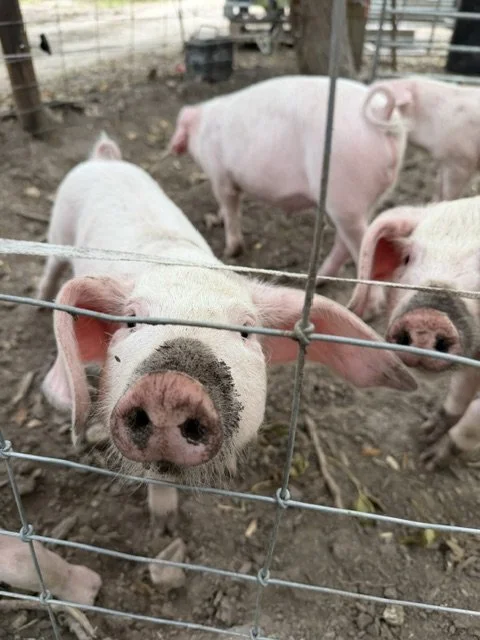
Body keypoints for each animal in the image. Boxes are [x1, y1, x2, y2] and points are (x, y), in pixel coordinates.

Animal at [37, 132, 416, 531]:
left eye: (246, 330)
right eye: (131, 320)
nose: (168, 388)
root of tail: (103, 159)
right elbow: (157, 479)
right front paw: (165, 524)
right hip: (58, 227)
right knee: (51, 265)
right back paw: (41, 299)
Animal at [168, 75, 407, 284]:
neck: (202, 126)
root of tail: (382, 112)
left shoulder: (219, 174)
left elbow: (230, 206)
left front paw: (231, 250)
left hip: (344, 190)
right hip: (370, 197)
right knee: (345, 242)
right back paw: (320, 280)